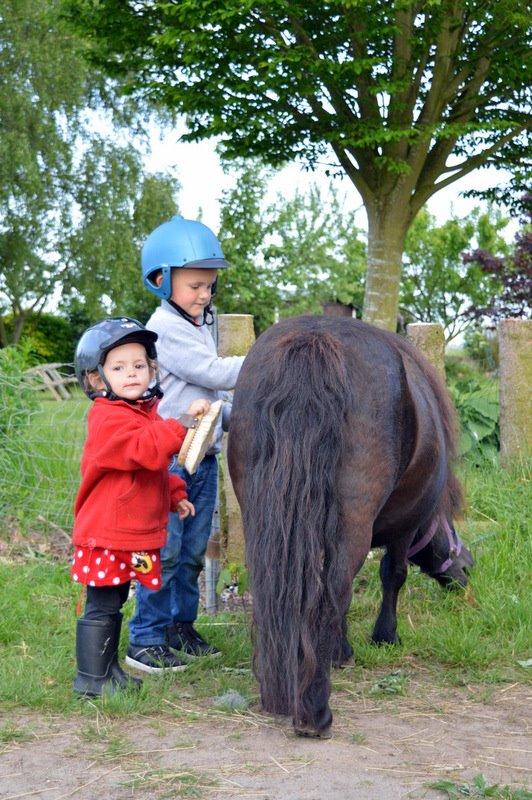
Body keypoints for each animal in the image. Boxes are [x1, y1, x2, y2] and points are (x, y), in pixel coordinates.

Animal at [229, 314, 466, 736]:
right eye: (452, 529)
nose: (467, 572)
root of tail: (314, 340)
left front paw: (341, 650)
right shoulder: (404, 529)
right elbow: (392, 575)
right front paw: (383, 636)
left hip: (262, 519)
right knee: (334, 589)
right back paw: (313, 711)